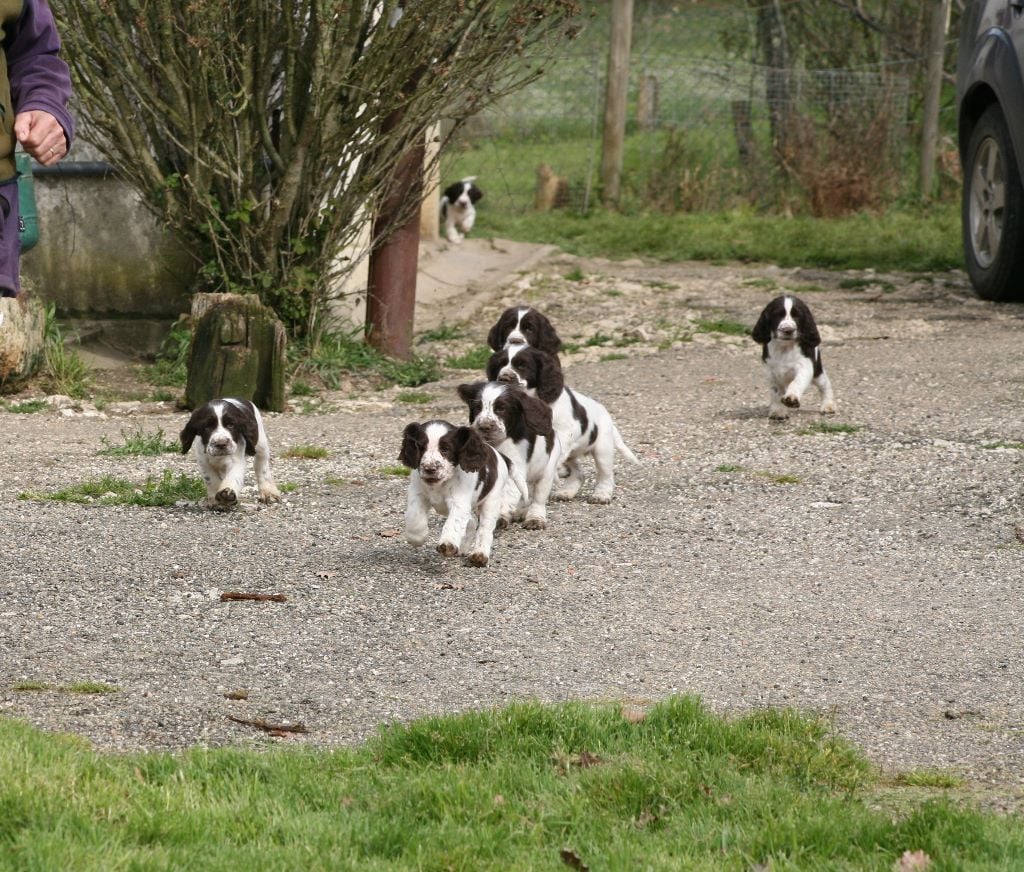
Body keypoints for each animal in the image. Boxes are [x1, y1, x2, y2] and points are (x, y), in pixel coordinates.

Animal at [399, 421, 528, 569]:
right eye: (420, 447)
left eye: (445, 449)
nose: (429, 469)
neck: (440, 485)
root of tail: (500, 456)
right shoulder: (417, 493)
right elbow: (414, 516)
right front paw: (416, 537)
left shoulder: (459, 501)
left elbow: (453, 522)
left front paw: (447, 543)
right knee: (471, 521)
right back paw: (464, 547)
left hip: (491, 500)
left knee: (485, 529)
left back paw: (480, 555)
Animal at [458, 382, 565, 532]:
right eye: (477, 407)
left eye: (501, 408)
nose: (484, 426)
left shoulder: (515, 464)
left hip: (548, 469)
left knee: (538, 498)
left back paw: (535, 518)